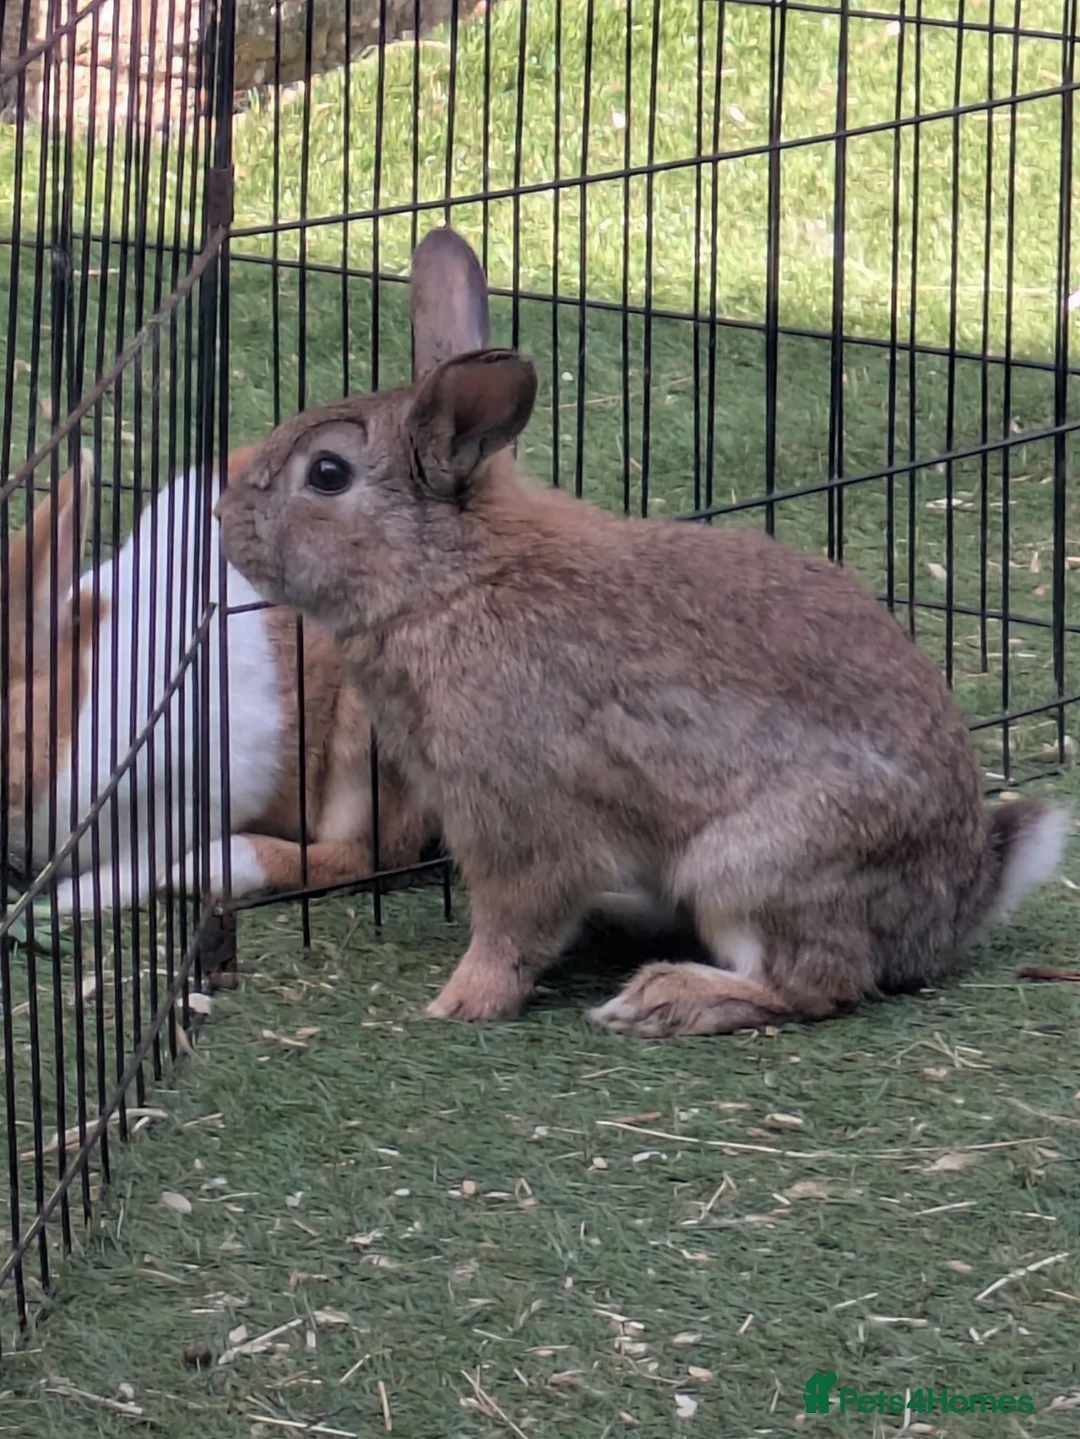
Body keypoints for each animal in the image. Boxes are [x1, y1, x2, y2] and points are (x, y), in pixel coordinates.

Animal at [2, 445, 438, 917]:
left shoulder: (212, 784)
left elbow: (142, 862)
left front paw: (68, 899)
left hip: (366, 747)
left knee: (367, 856)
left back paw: (210, 869)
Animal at [212, 224, 1069, 1038]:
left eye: (327, 475)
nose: (224, 523)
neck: (451, 577)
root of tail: (956, 904)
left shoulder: (517, 812)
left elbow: (514, 918)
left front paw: (461, 1003)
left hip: (751, 863)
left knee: (817, 981)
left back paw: (662, 999)